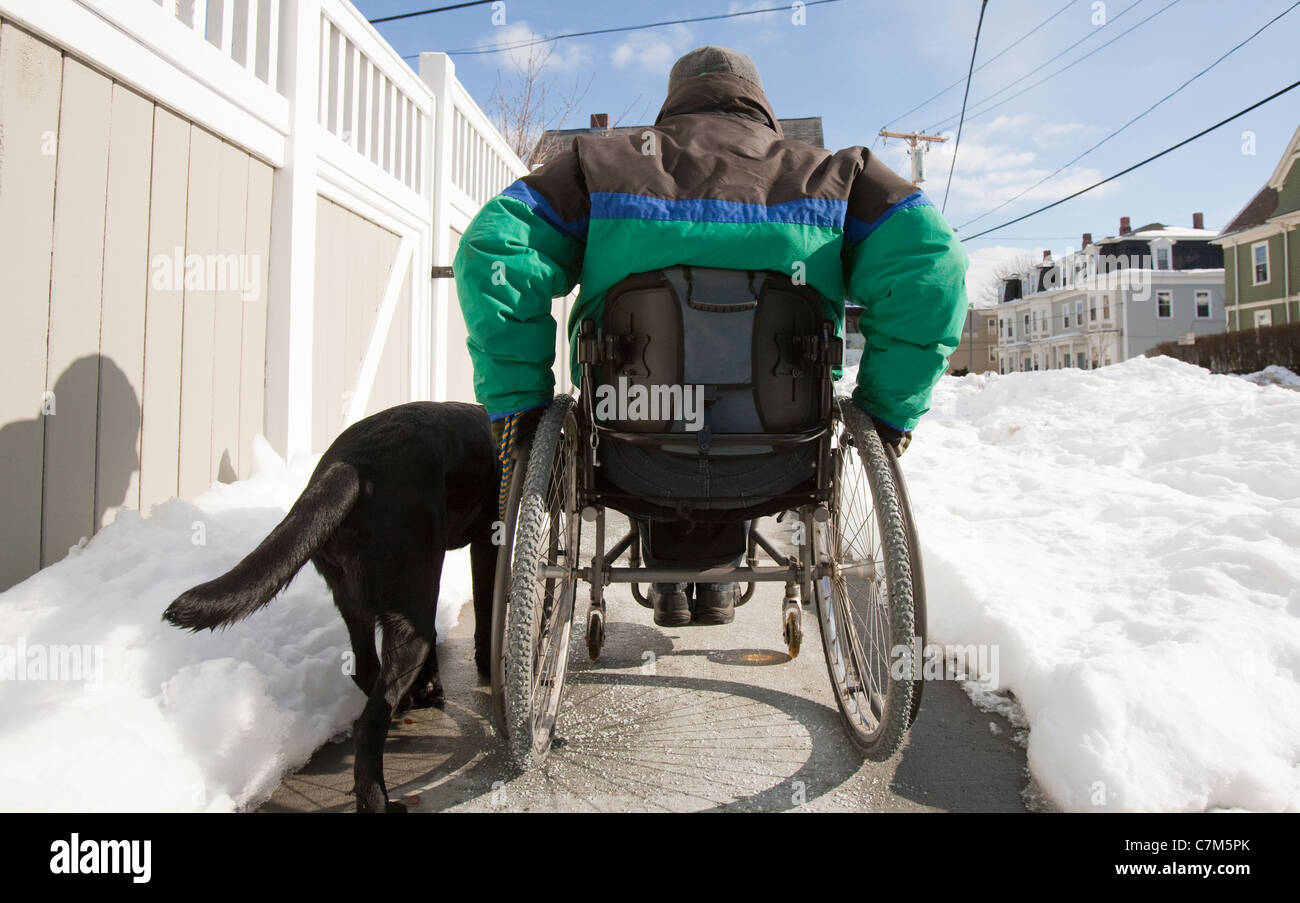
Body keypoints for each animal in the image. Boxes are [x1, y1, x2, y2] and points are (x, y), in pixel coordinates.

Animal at [165, 402, 499, 810]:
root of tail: (351, 464)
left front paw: (429, 688)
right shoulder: (487, 543)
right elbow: (485, 612)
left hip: (360, 601)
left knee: (366, 670)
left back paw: (406, 704)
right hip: (412, 599)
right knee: (372, 720)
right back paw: (378, 799)